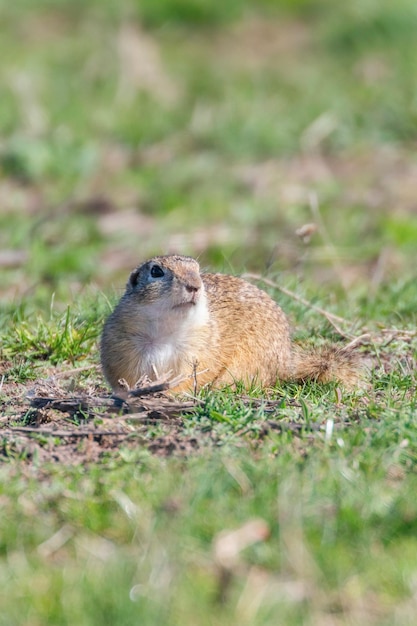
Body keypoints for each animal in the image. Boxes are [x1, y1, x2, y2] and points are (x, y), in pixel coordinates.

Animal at [99, 252, 360, 390]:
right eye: (156, 272)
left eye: (197, 269)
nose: (195, 286)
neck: (165, 331)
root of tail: (286, 363)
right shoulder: (122, 344)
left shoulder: (199, 348)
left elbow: (192, 376)